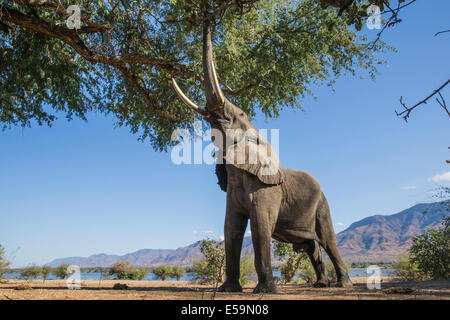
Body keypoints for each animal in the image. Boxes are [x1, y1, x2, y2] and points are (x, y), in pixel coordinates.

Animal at [170, 21, 352, 294]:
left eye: (241, 115)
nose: (207, 18)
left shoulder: (267, 190)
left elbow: (259, 227)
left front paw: (264, 291)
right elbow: (231, 227)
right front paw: (228, 290)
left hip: (323, 206)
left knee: (328, 241)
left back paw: (342, 285)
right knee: (312, 247)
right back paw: (320, 285)